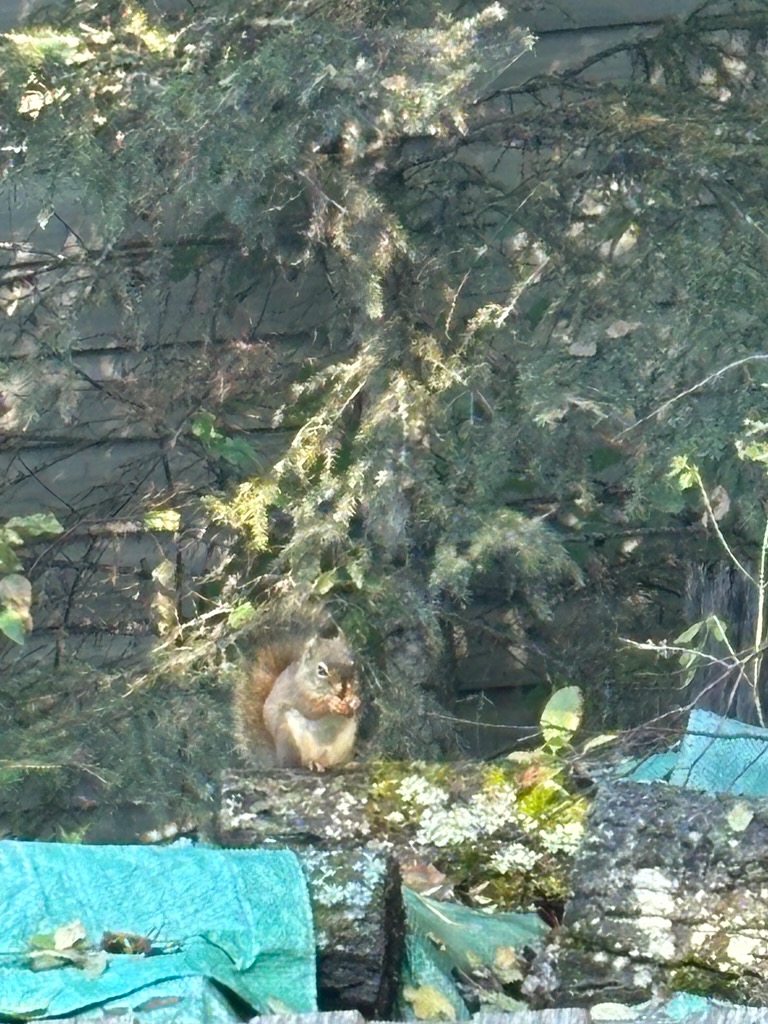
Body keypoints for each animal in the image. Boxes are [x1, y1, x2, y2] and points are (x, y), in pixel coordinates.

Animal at [233, 632, 361, 771]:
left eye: (353, 664)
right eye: (321, 670)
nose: (345, 685)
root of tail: (276, 759)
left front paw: (354, 701)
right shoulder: (297, 693)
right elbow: (311, 709)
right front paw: (331, 703)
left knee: (332, 762)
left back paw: (347, 764)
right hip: (288, 737)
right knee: (293, 763)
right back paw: (310, 763)